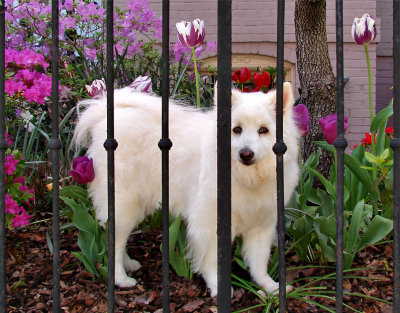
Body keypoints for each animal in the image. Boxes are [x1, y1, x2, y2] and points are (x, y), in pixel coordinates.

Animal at [73, 81, 300, 296]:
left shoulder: (261, 226)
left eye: (263, 130)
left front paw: (270, 287)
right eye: (237, 129)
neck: (248, 177)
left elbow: (259, 262)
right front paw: (218, 287)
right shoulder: (209, 224)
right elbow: (212, 261)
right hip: (124, 206)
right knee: (115, 244)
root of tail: (107, 117)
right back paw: (122, 279)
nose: (246, 154)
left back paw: (129, 264)